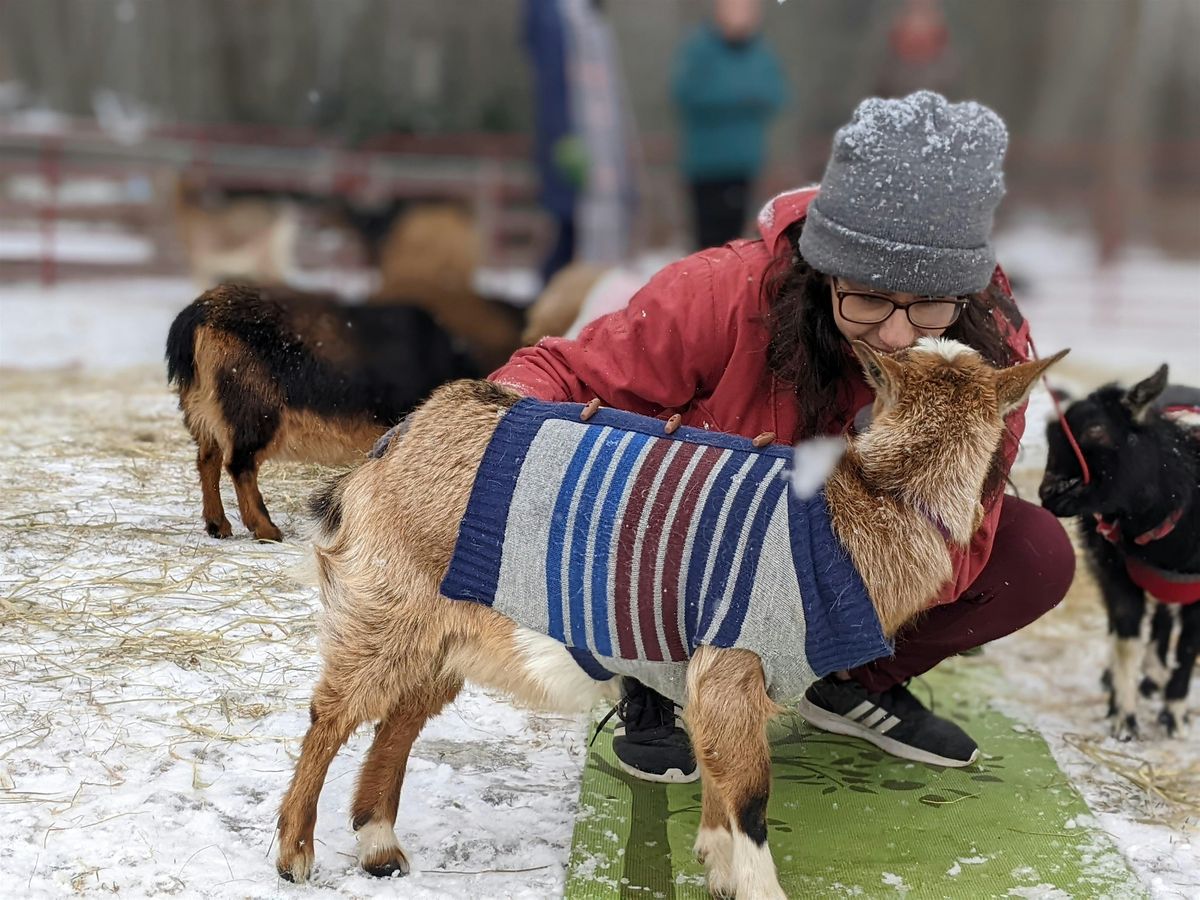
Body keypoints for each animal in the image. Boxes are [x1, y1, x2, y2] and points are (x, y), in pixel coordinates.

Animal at [165, 282, 479, 541]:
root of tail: (196, 316)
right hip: (252, 411)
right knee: (239, 464)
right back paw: (266, 529)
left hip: (205, 412)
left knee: (208, 460)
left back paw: (218, 525)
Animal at [274, 338, 1064, 896]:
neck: (865, 505)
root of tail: (389, 448)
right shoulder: (735, 664)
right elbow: (750, 796)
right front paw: (754, 885)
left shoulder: (714, 684)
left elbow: (720, 782)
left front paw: (714, 865)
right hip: (386, 609)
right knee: (331, 714)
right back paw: (295, 854)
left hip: (448, 634)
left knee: (399, 720)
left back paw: (379, 845)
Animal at [1039, 365, 1200, 739]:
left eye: (1096, 430)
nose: (1047, 493)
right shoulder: (1117, 573)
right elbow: (1126, 640)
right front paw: (1123, 718)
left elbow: (1187, 649)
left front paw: (1174, 715)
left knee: (1163, 619)